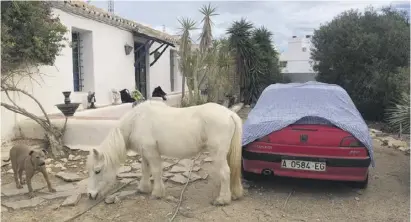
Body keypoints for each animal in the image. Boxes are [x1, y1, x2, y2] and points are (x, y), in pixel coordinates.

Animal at [85, 100, 243, 205]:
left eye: (97, 171)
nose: (90, 195)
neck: (136, 121)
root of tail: (230, 114)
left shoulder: (151, 151)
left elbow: (155, 171)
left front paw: (157, 193)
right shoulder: (145, 153)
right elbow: (145, 169)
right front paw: (144, 188)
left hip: (218, 153)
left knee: (225, 172)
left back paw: (222, 199)